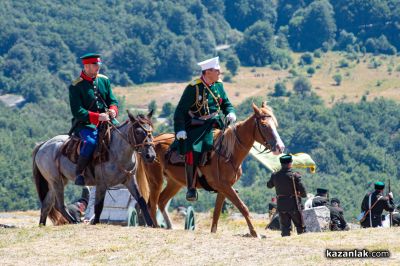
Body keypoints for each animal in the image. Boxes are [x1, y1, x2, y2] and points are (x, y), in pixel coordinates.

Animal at [138, 102, 284, 237]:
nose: (280, 147)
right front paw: (254, 233)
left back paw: (169, 226)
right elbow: (243, 207)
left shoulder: (224, 189)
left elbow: (217, 212)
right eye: (264, 125)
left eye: (275, 124)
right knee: (152, 205)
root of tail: (151, 143)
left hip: (175, 183)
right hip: (155, 181)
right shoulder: (224, 186)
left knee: (162, 201)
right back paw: (156, 227)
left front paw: (213, 231)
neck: (227, 152)